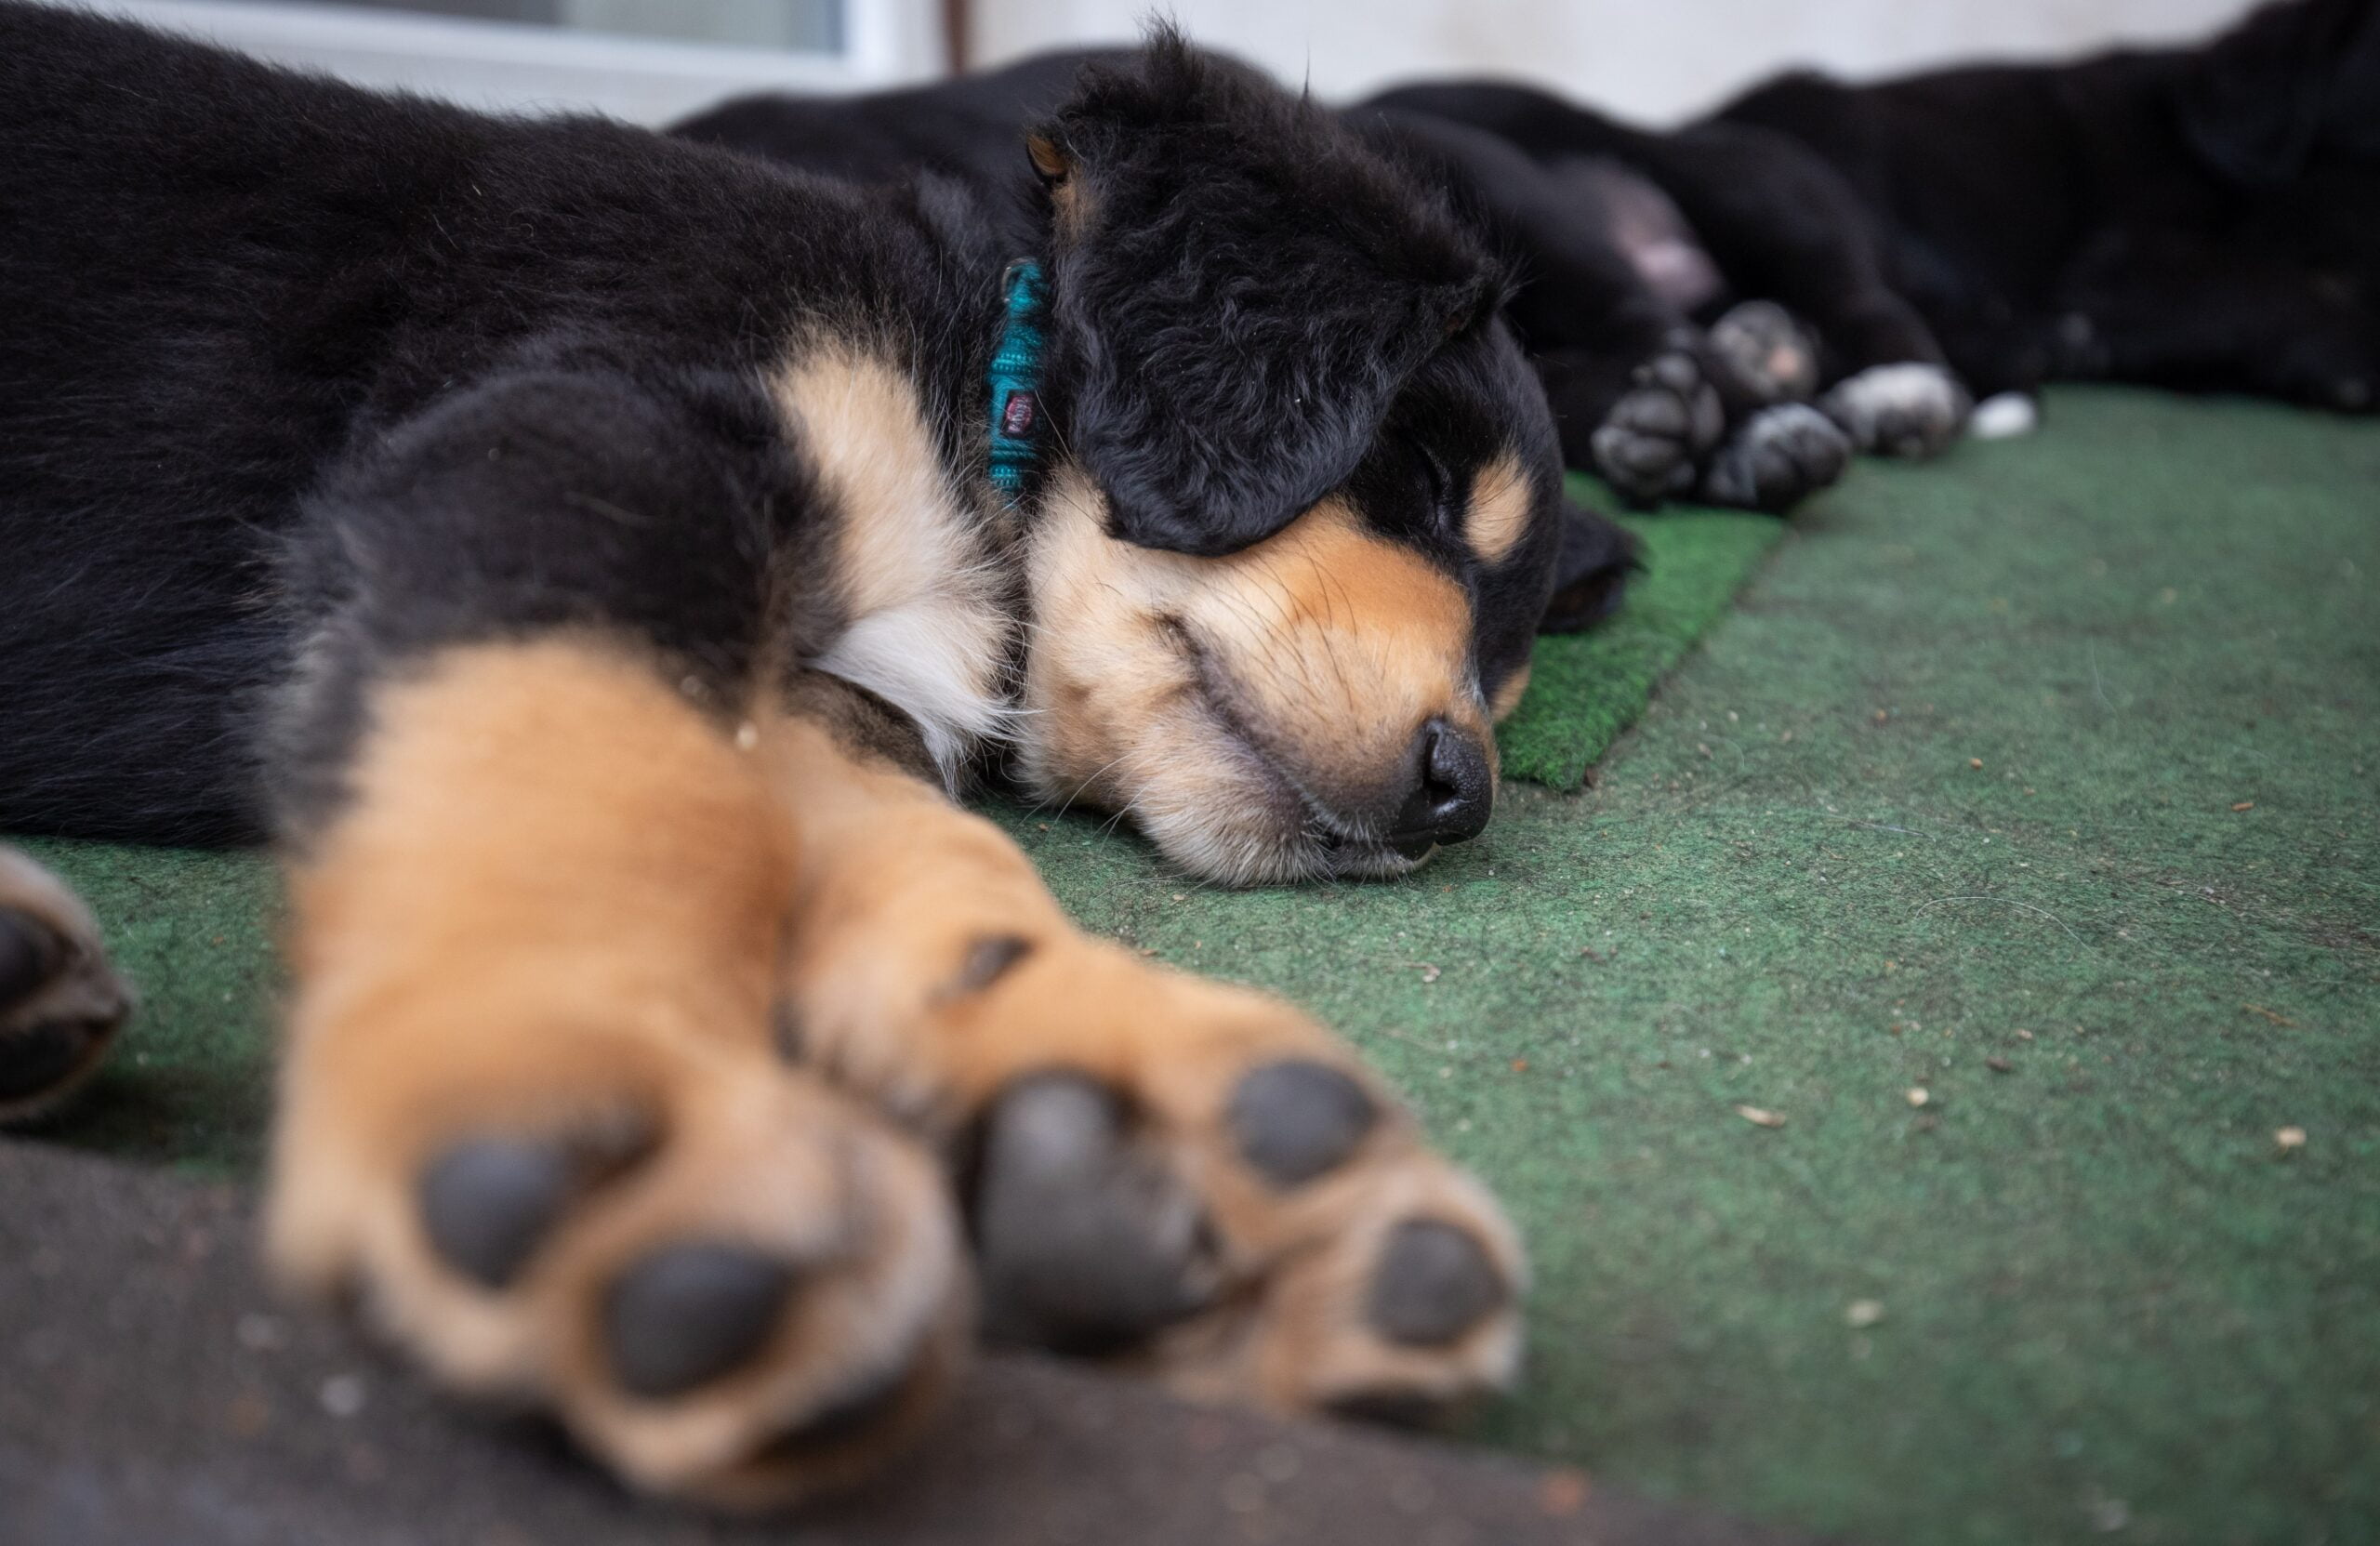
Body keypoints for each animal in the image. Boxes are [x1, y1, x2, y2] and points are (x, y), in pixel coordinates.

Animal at [0, 0, 1599, 1493]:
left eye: (1505, 678)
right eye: (1423, 478)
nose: (1457, 795)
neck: (971, 388)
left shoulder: (809, 694)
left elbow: (906, 850)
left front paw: (1127, 1101)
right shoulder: (585, 433)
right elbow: (590, 753)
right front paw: (578, 1086)